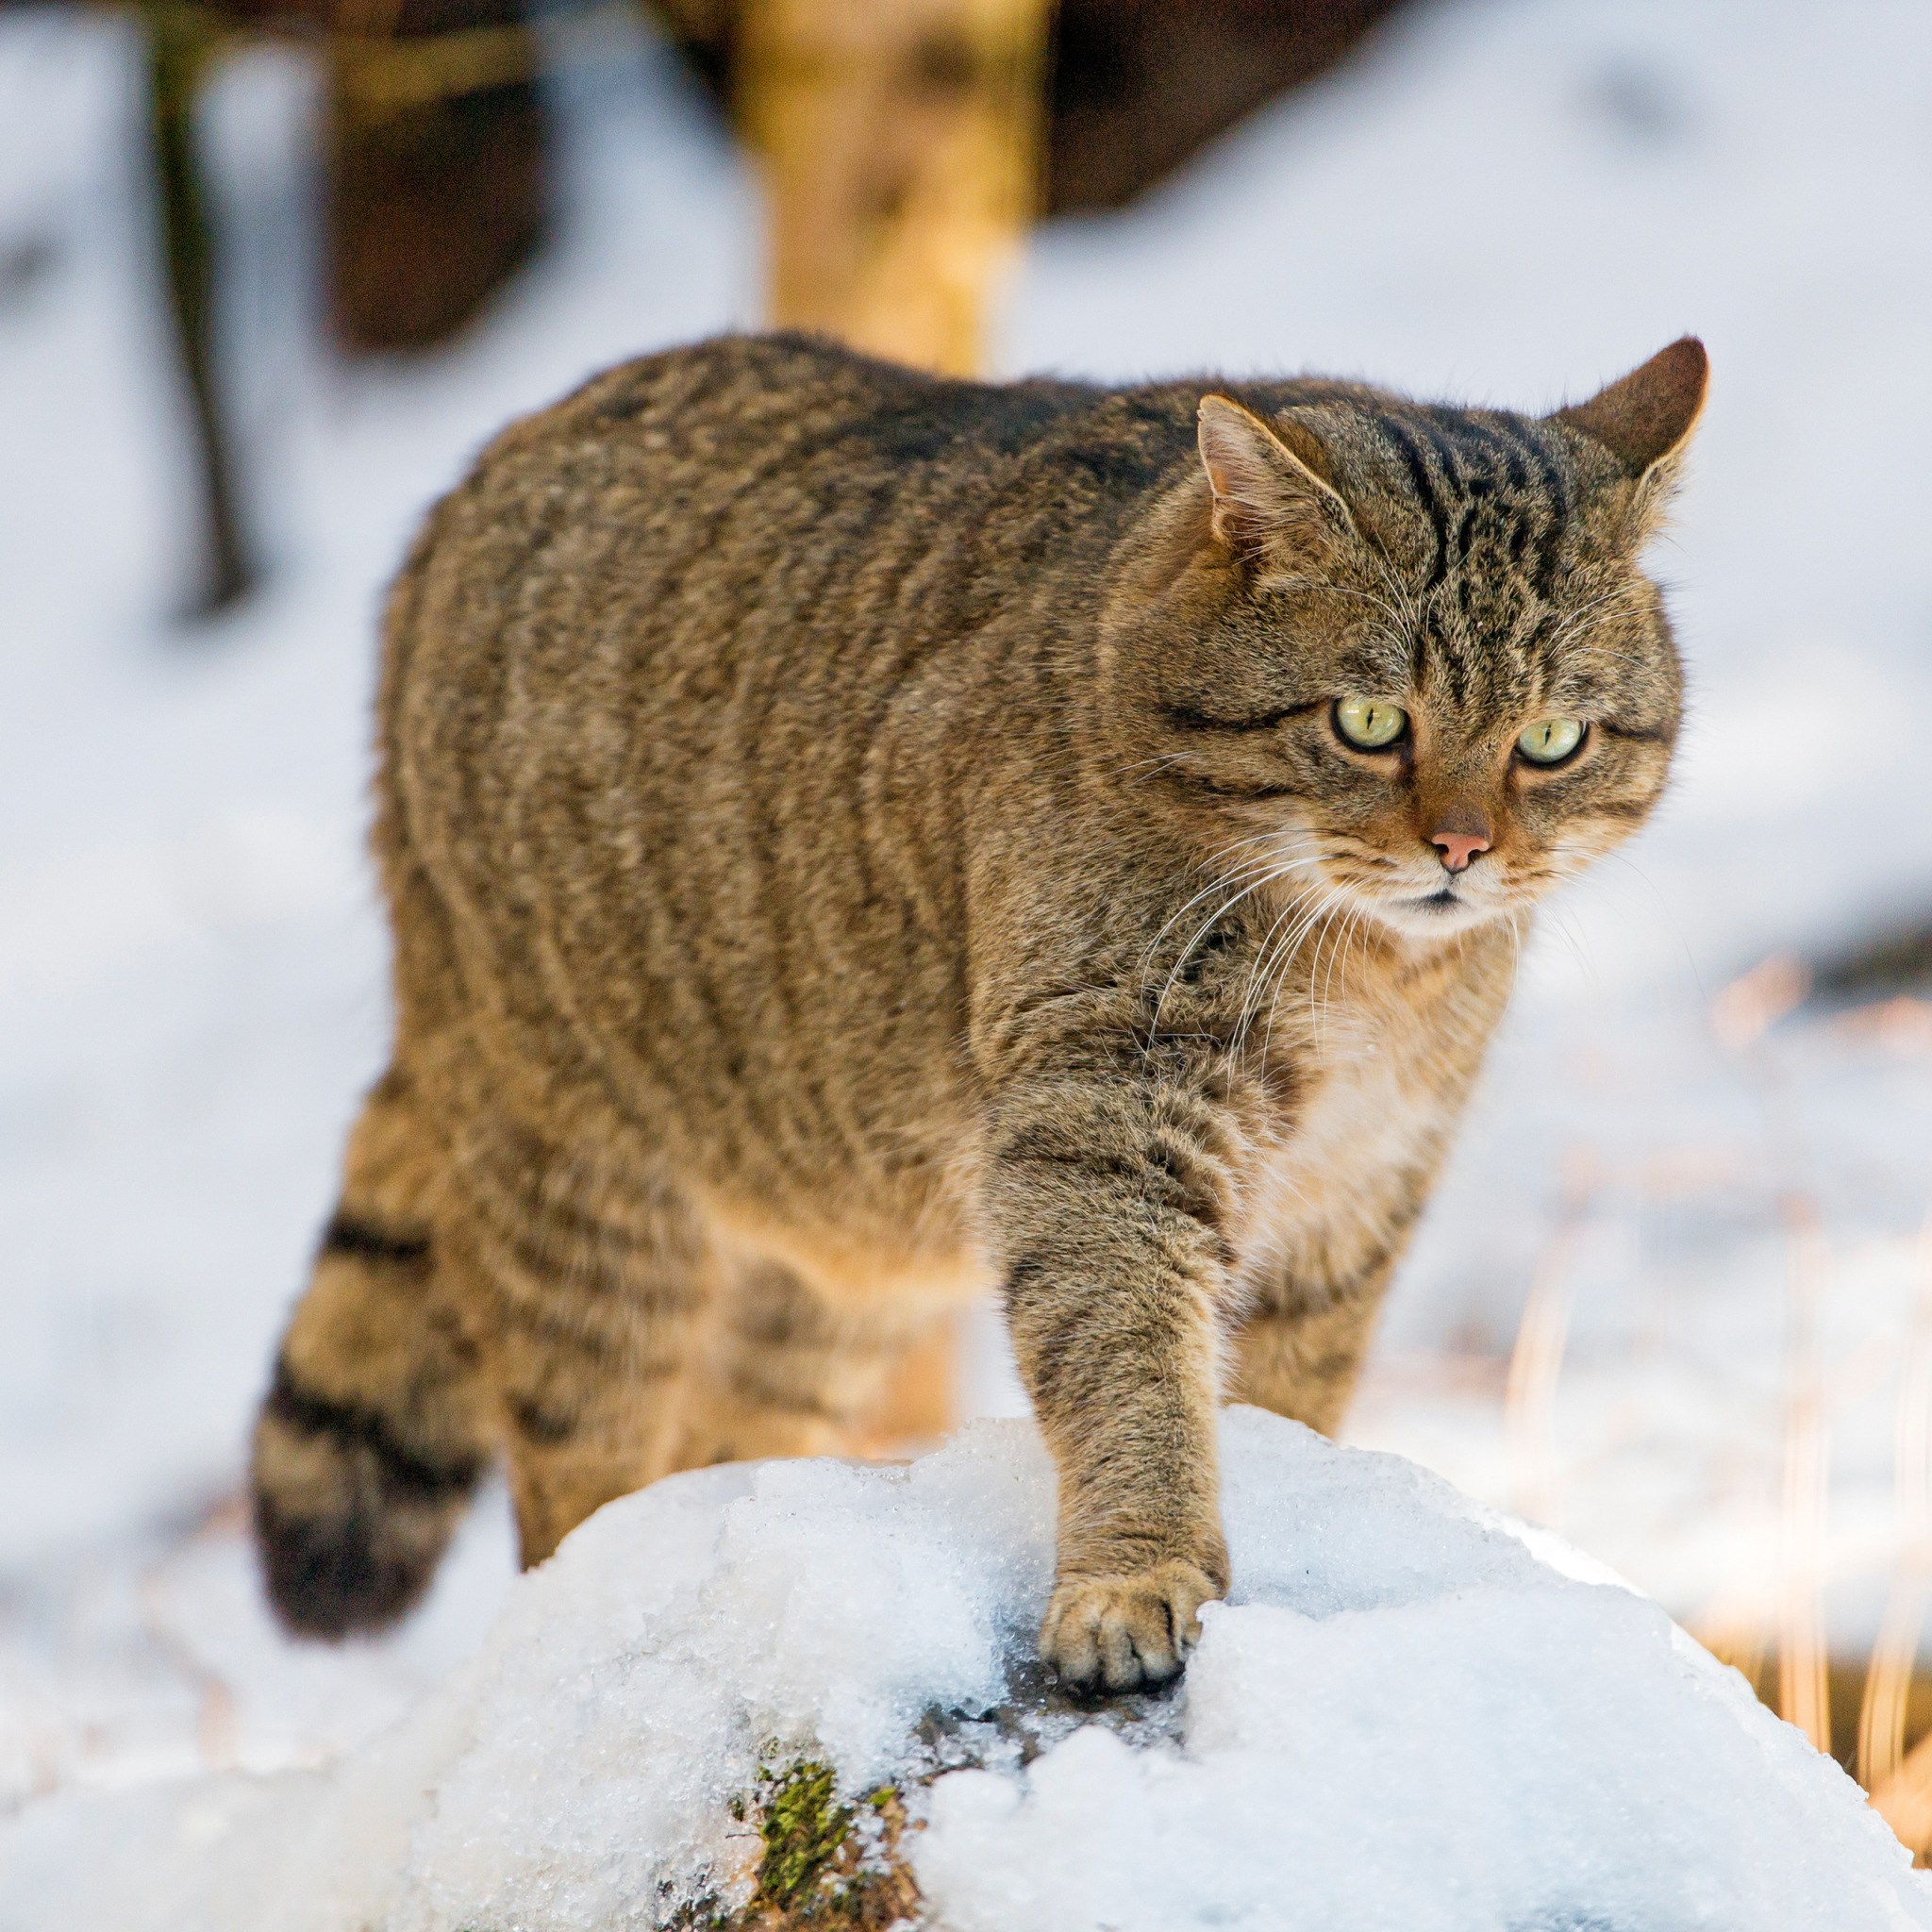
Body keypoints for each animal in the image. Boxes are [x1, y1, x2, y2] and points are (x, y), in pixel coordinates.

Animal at [253, 332, 1707, 1692]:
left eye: (1551, 741)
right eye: (1366, 720)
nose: (1461, 849)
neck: (1378, 976)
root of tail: (466, 488)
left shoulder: (1359, 1192)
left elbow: (1286, 1397)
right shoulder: (1109, 1111)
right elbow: (1128, 1359)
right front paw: (1137, 1569)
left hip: (830, 1245)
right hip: (584, 1199)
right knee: (574, 1487)